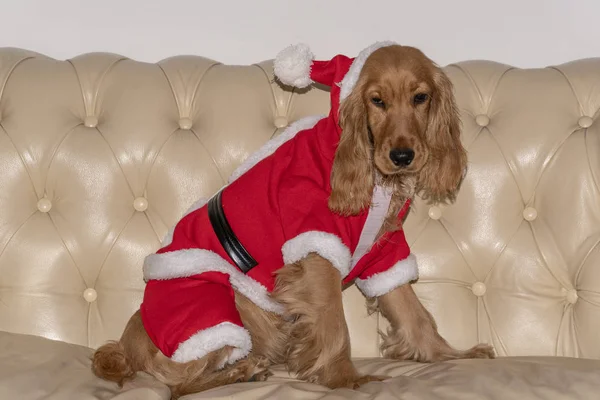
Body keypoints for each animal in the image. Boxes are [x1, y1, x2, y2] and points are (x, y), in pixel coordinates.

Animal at [91, 42, 494, 398]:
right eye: (377, 100)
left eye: (420, 98)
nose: (402, 155)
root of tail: (128, 346)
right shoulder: (316, 252)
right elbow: (334, 325)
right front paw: (346, 378)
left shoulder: (384, 255)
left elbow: (414, 313)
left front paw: (450, 355)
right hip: (212, 310)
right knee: (180, 386)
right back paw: (243, 371)